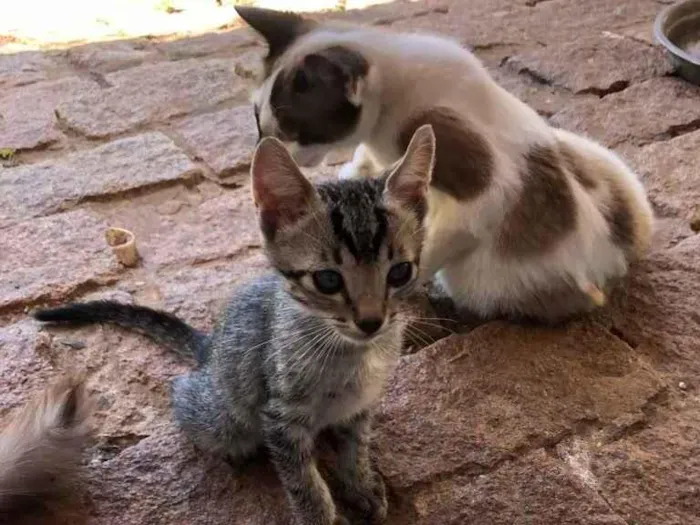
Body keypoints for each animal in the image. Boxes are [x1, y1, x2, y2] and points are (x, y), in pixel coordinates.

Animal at [34, 126, 438, 524]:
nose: (371, 321)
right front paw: (321, 512)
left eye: (400, 273)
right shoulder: (279, 417)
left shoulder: (361, 406)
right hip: (221, 418)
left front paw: (360, 484)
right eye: (327, 280)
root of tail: (209, 348)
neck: (354, 356)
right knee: (184, 395)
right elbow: (304, 483)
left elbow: (356, 446)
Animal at [237, 6, 656, 322]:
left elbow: (424, 250)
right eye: (257, 121)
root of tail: (613, 269)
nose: (267, 148)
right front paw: (357, 173)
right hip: (591, 152)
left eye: (295, 129)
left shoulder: (482, 187)